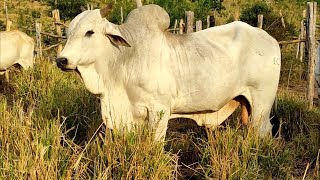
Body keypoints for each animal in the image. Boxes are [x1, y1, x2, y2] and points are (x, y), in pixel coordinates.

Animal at [56, 3, 282, 141]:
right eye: (68, 33)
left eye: (90, 32)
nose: (61, 60)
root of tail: (271, 40)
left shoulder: (159, 110)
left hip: (262, 106)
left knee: (262, 132)